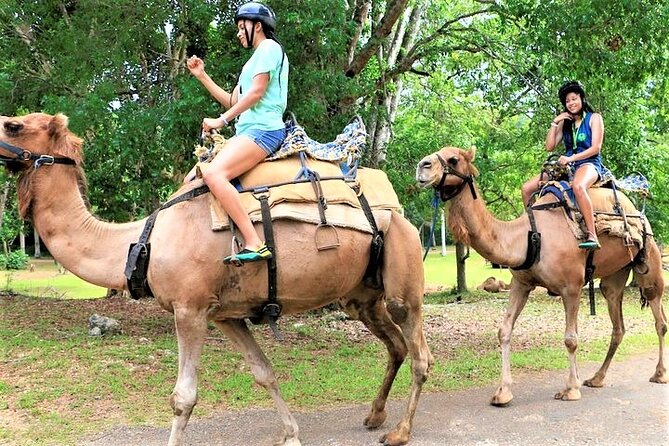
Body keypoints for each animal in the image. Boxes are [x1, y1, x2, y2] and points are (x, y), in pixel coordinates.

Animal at [0, 113, 433, 446]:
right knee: (395, 346)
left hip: (403, 272)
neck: (143, 239)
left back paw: (399, 432)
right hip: (361, 296)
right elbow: (263, 372)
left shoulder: (189, 309)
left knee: (419, 354)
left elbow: (183, 397)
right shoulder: (225, 315)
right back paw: (374, 416)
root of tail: (401, 211)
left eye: (14, 125)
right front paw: (290, 433)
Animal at [416, 146, 667, 406]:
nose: (422, 166)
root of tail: (638, 211)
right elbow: (504, 331)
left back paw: (658, 374)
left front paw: (570, 389)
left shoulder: (571, 287)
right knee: (617, 322)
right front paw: (503, 392)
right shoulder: (521, 283)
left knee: (659, 317)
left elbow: (570, 338)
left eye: (453, 159)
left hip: (648, 256)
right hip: (616, 274)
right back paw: (597, 378)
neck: (530, 236)